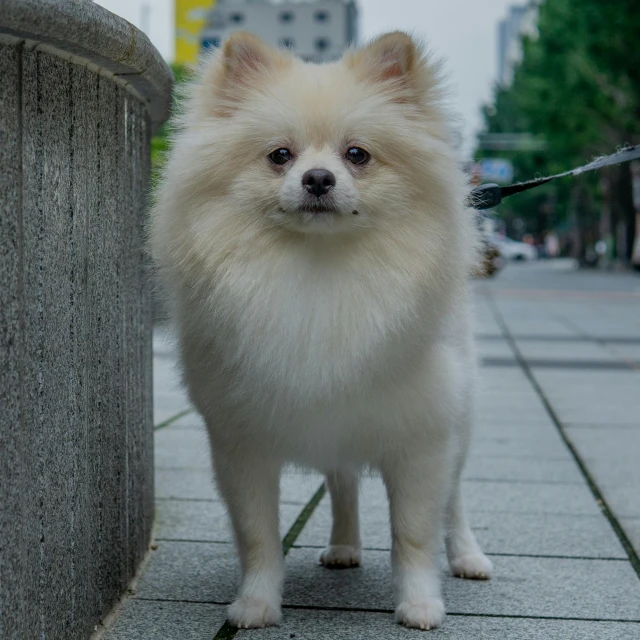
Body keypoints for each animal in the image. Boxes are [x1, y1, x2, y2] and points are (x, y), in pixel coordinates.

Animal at [150, 31, 490, 632]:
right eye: (279, 155)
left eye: (357, 155)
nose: (317, 178)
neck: (319, 270)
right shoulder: (241, 442)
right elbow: (257, 536)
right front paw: (256, 604)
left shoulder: (423, 436)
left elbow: (415, 532)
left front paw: (420, 604)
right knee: (343, 483)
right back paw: (345, 546)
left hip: (461, 420)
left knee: (454, 503)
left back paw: (467, 556)